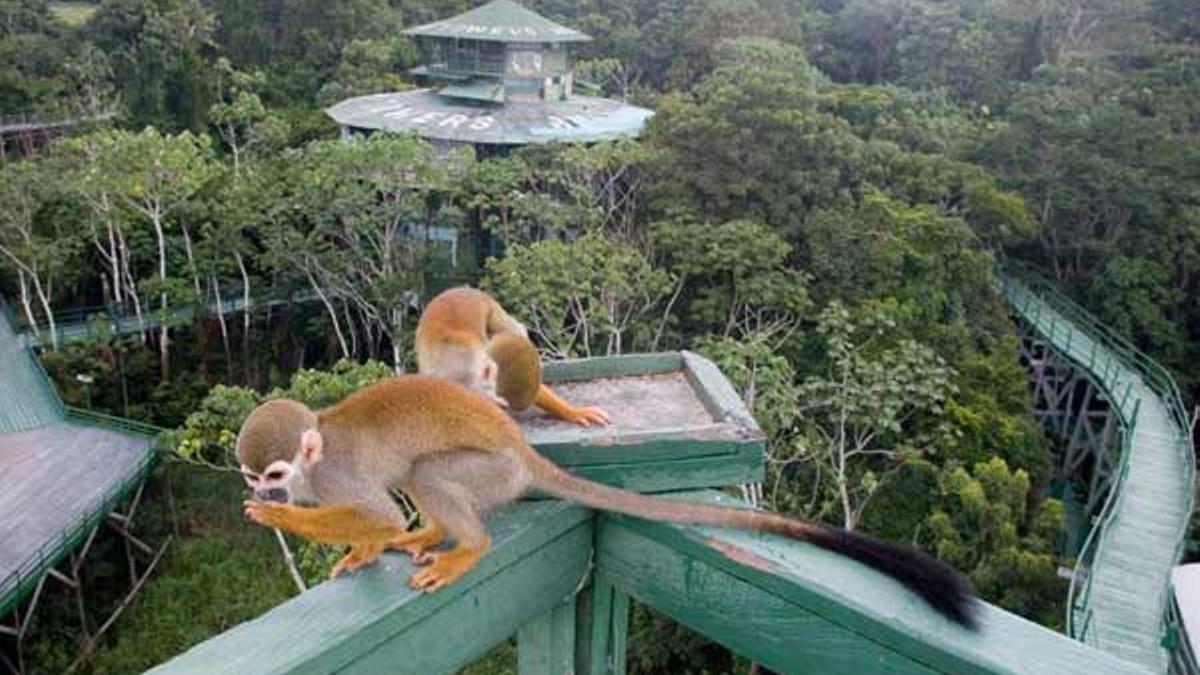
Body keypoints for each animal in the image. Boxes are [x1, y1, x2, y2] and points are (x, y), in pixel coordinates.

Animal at [238, 374, 979, 629]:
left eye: (274, 473)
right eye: (252, 474)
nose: (266, 491)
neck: (314, 466)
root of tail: (522, 447)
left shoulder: (337, 478)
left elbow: (379, 509)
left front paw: (290, 518)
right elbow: (375, 524)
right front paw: (361, 551)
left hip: (494, 470)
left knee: (427, 474)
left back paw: (464, 546)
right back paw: (430, 537)